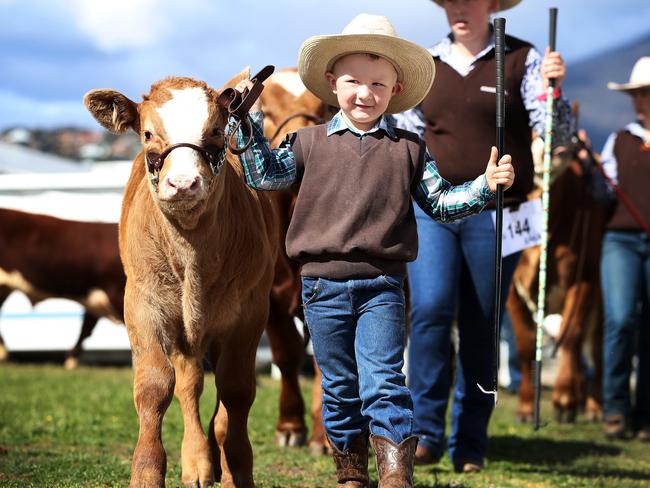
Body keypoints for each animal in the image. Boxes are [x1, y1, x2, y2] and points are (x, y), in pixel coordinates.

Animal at [84, 70, 276, 486]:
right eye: (147, 133)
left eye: (217, 130)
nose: (184, 183)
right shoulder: (142, 304)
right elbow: (156, 385)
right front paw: (147, 471)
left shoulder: (251, 312)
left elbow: (237, 390)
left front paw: (238, 469)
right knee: (190, 383)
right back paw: (198, 461)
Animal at [506, 130, 608, 424]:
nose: (551, 146)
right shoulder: (511, 287)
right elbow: (526, 343)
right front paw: (527, 408)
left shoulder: (584, 278)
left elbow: (571, 334)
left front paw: (564, 399)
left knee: (596, 348)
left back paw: (593, 407)